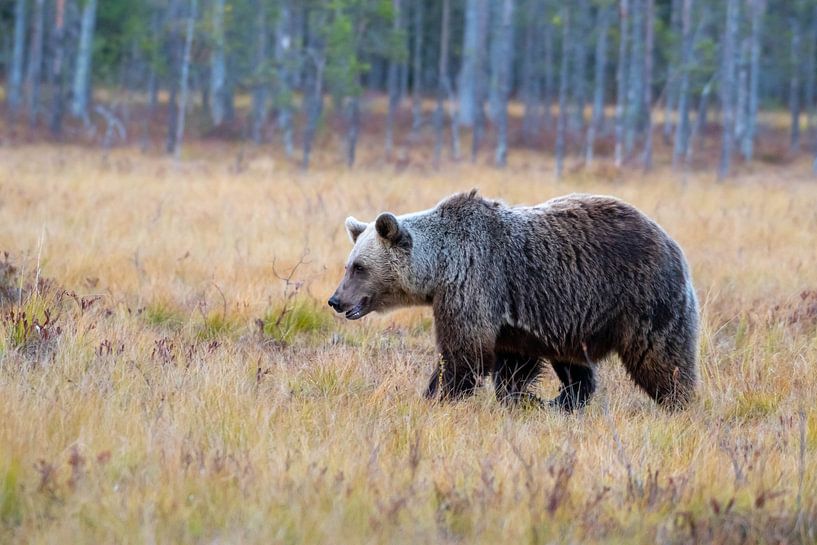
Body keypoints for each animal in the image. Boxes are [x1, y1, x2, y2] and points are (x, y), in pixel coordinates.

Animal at [328, 191, 700, 408]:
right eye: (348, 265)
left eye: (359, 267)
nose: (335, 300)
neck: (440, 266)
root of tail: (670, 241)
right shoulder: (512, 319)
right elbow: (511, 364)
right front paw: (523, 398)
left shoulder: (475, 282)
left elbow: (465, 353)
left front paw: (437, 395)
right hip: (574, 317)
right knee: (574, 363)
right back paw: (564, 401)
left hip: (642, 297)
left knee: (660, 355)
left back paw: (677, 401)